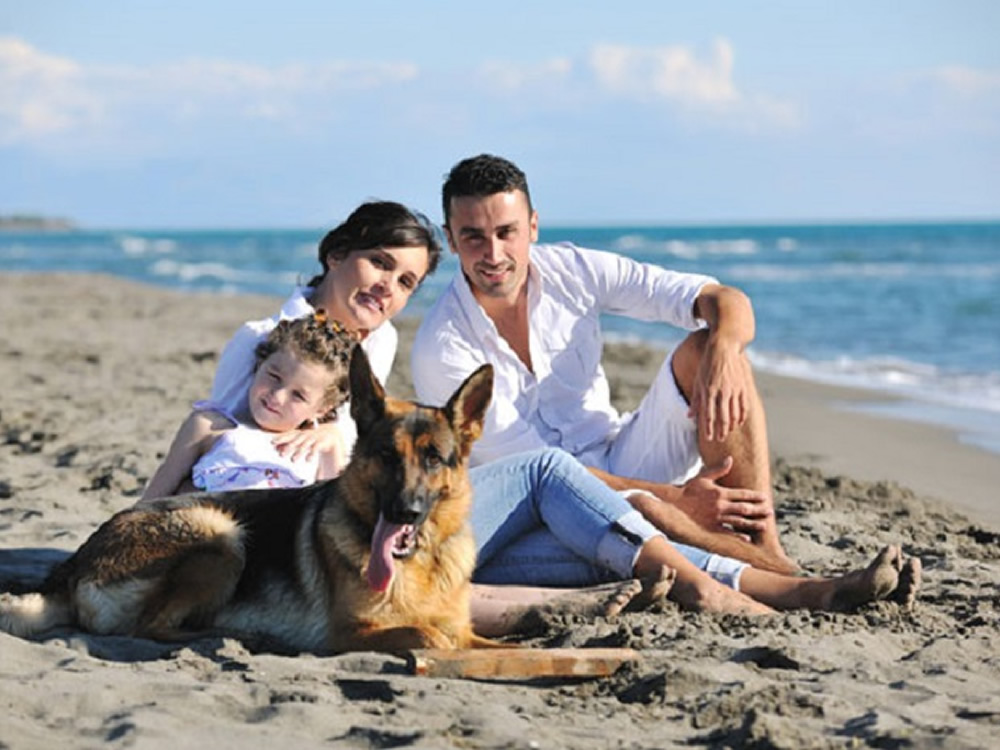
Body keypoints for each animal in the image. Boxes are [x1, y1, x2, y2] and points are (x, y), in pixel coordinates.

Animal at [0, 350, 498, 656]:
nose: (405, 512)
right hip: (219, 533)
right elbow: (430, 635)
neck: (423, 563)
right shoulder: (349, 632)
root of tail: (71, 567)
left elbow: (491, 643)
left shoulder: (466, 631)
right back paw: (241, 634)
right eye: (386, 455)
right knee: (151, 627)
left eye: (433, 458)